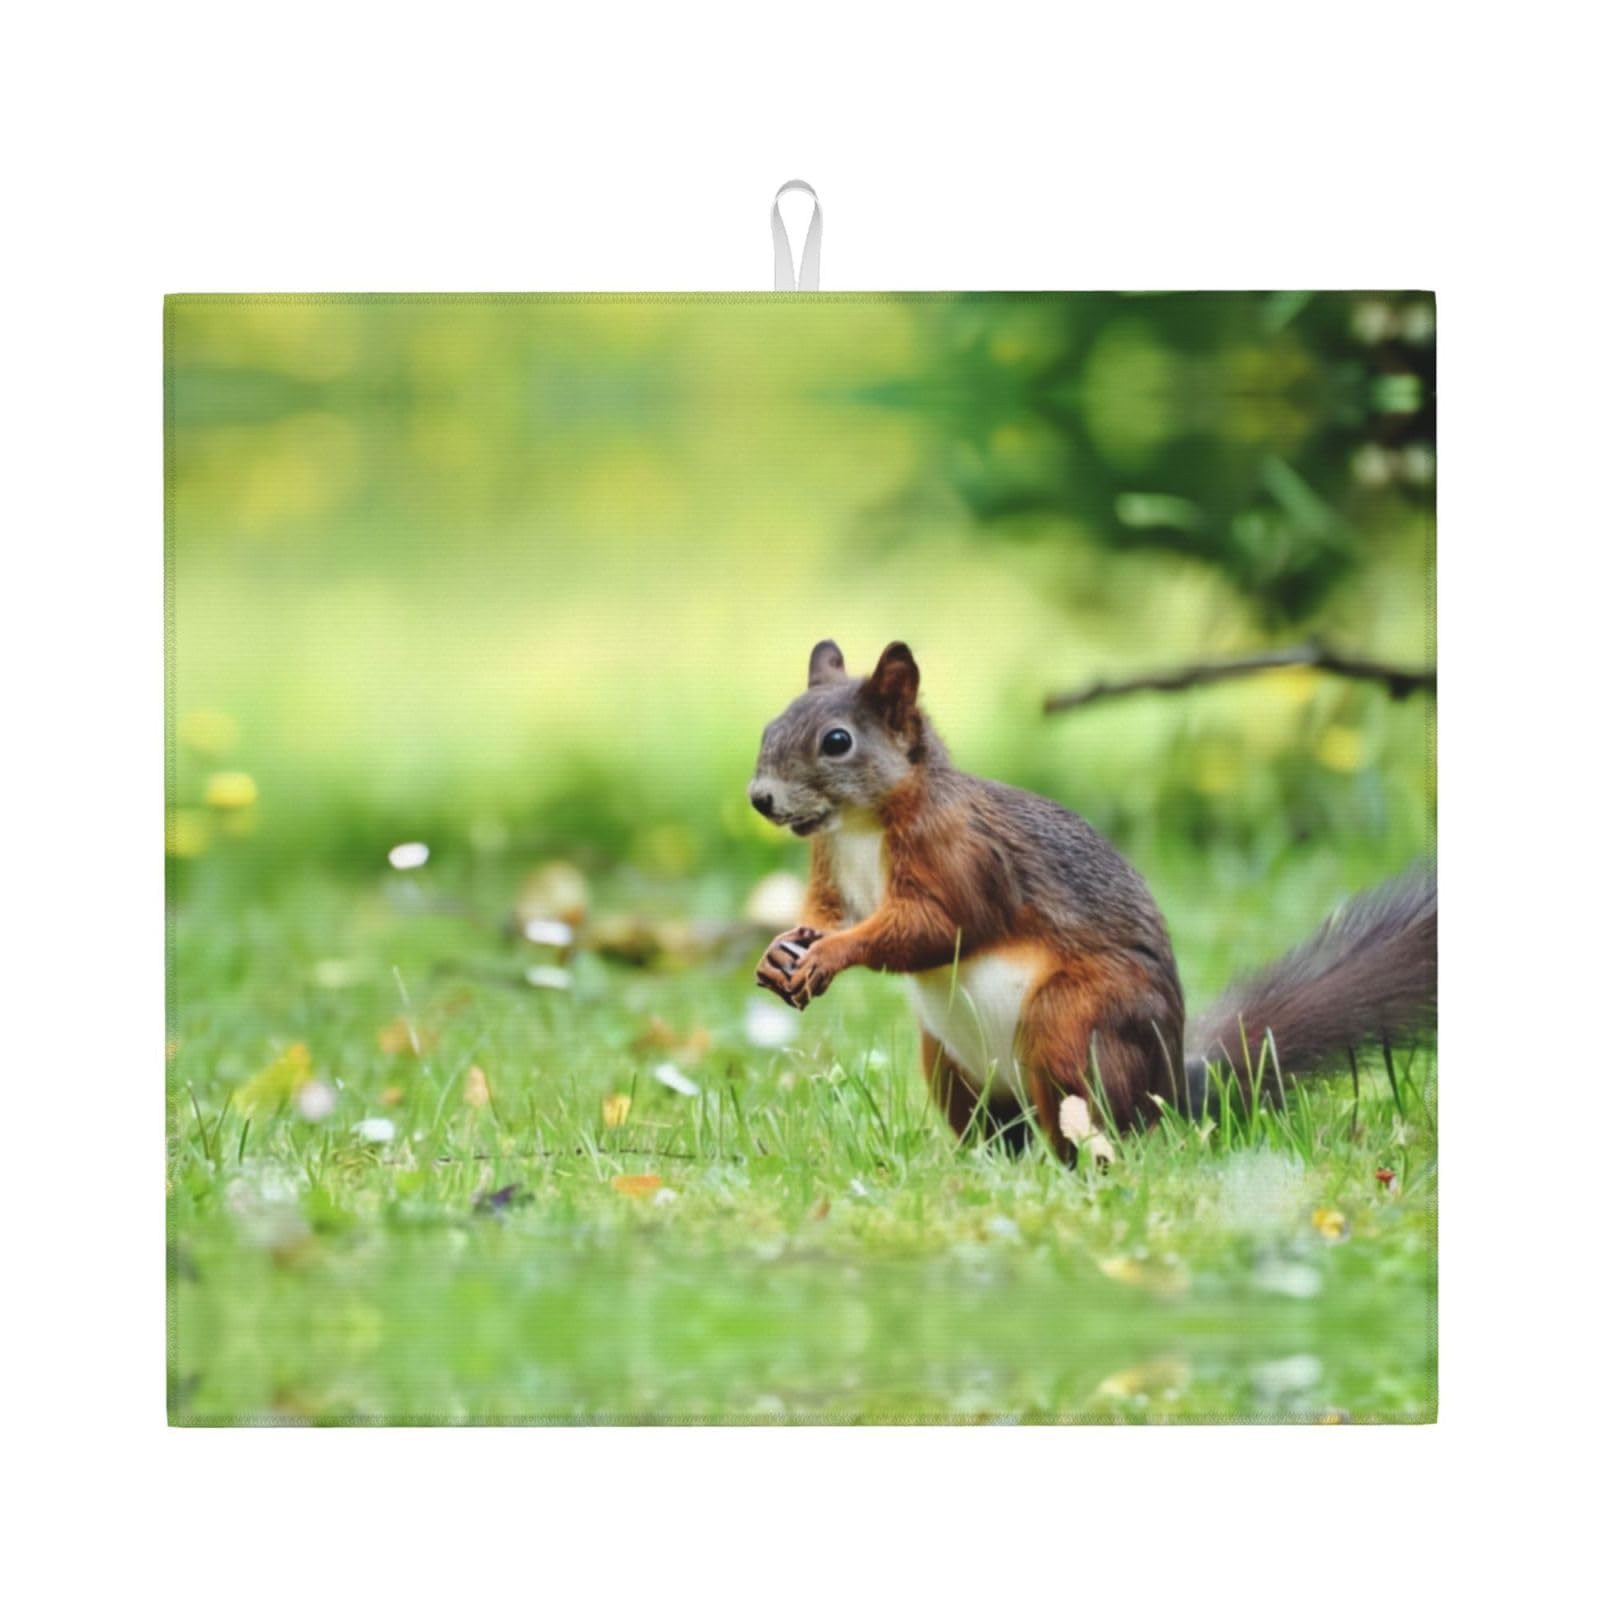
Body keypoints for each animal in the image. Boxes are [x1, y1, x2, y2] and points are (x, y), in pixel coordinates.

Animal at [749, 639, 1436, 1161]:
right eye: (771, 726)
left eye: (837, 742)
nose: (761, 798)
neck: (860, 827)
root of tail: (1168, 1088)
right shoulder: (830, 870)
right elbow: (824, 913)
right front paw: (782, 950)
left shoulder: (962, 857)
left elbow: (934, 928)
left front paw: (831, 954)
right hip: (950, 1062)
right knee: (1002, 1129)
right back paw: (983, 1165)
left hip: (1075, 1023)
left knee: (1089, 1115)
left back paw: (1079, 1165)